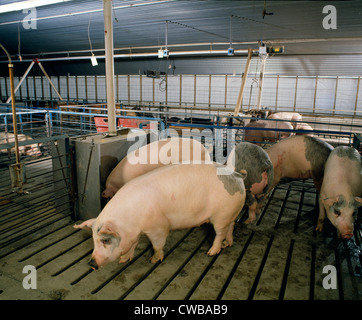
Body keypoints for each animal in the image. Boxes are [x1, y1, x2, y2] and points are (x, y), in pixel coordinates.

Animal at [75, 162, 247, 268]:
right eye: (93, 240)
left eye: (105, 240)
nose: (91, 264)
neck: (129, 219)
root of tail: (238, 175)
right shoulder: (134, 232)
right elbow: (133, 244)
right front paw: (123, 261)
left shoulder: (158, 227)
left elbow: (157, 244)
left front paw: (153, 260)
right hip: (230, 213)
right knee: (231, 227)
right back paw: (227, 244)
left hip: (221, 214)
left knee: (219, 233)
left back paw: (212, 252)